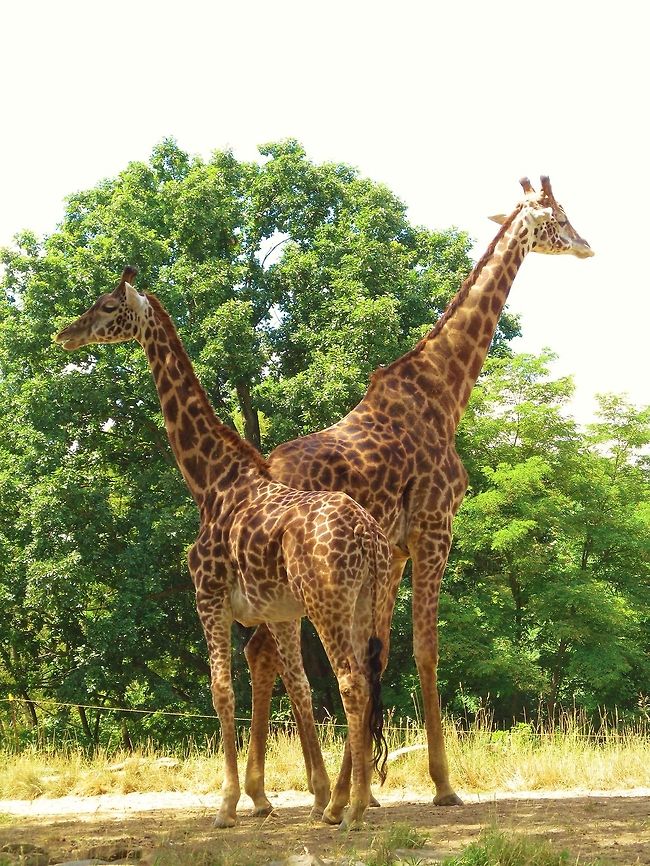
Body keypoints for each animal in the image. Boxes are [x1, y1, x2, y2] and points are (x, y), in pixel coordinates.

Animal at [54, 267, 397, 830]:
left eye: (106, 306)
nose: (67, 334)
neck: (209, 482)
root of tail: (370, 540)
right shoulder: (279, 612)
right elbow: (298, 689)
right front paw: (313, 795)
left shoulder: (208, 596)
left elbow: (221, 691)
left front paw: (228, 805)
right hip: (369, 601)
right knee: (365, 680)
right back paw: (349, 804)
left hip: (329, 602)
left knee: (351, 682)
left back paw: (353, 812)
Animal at [242, 176, 594, 810]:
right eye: (557, 216)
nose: (586, 246)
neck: (446, 389)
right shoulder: (435, 529)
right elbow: (425, 649)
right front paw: (442, 785)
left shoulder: (397, 550)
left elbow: (378, 652)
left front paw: (365, 789)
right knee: (276, 652)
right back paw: (309, 790)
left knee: (261, 653)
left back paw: (268, 794)